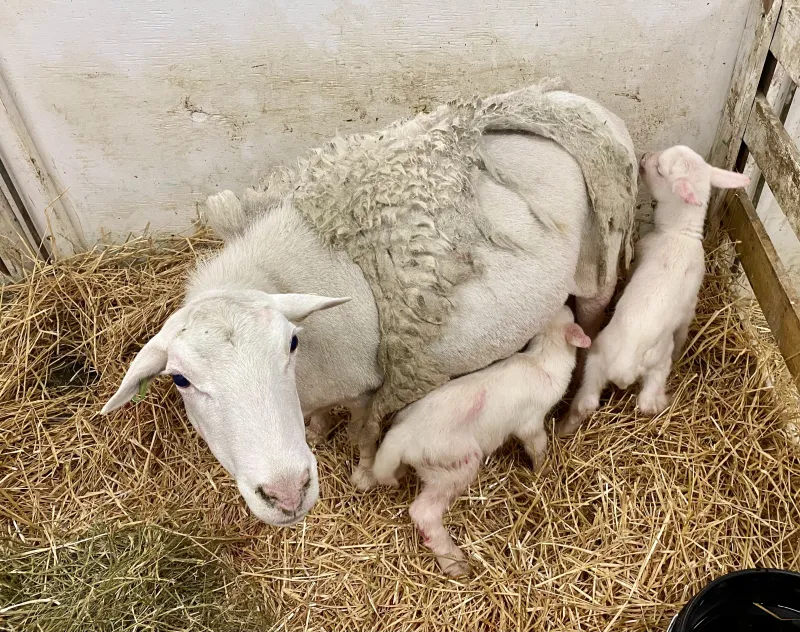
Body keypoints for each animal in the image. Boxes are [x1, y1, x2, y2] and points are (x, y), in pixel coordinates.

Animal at [373, 305, 591, 576]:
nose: (569, 304)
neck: (542, 360)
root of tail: (402, 436)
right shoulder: (530, 424)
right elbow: (537, 447)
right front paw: (543, 470)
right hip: (453, 465)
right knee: (423, 512)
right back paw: (455, 563)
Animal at [559, 145, 750, 436]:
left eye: (660, 169)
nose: (644, 157)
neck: (681, 231)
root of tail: (626, 365)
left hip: (621, 358)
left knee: (605, 401)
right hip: (627, 361)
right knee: (621, 402)